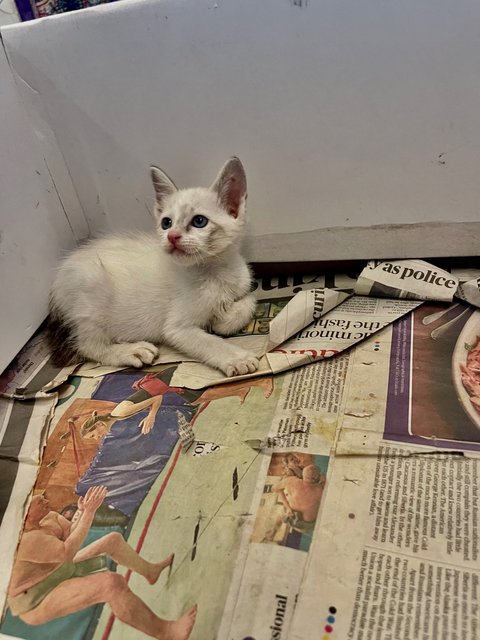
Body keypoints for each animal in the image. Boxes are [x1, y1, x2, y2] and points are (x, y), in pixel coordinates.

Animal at [47, 158, 260, 378]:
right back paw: (130, 350)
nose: (172, 236)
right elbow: (208, 342)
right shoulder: (177, 329)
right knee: (88, 345)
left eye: (199, 221)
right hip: (91, 289)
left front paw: (223, 319)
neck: (215, 272)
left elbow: (251, 300)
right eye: (166, 223)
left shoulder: (244, 284)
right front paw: (238, 358)